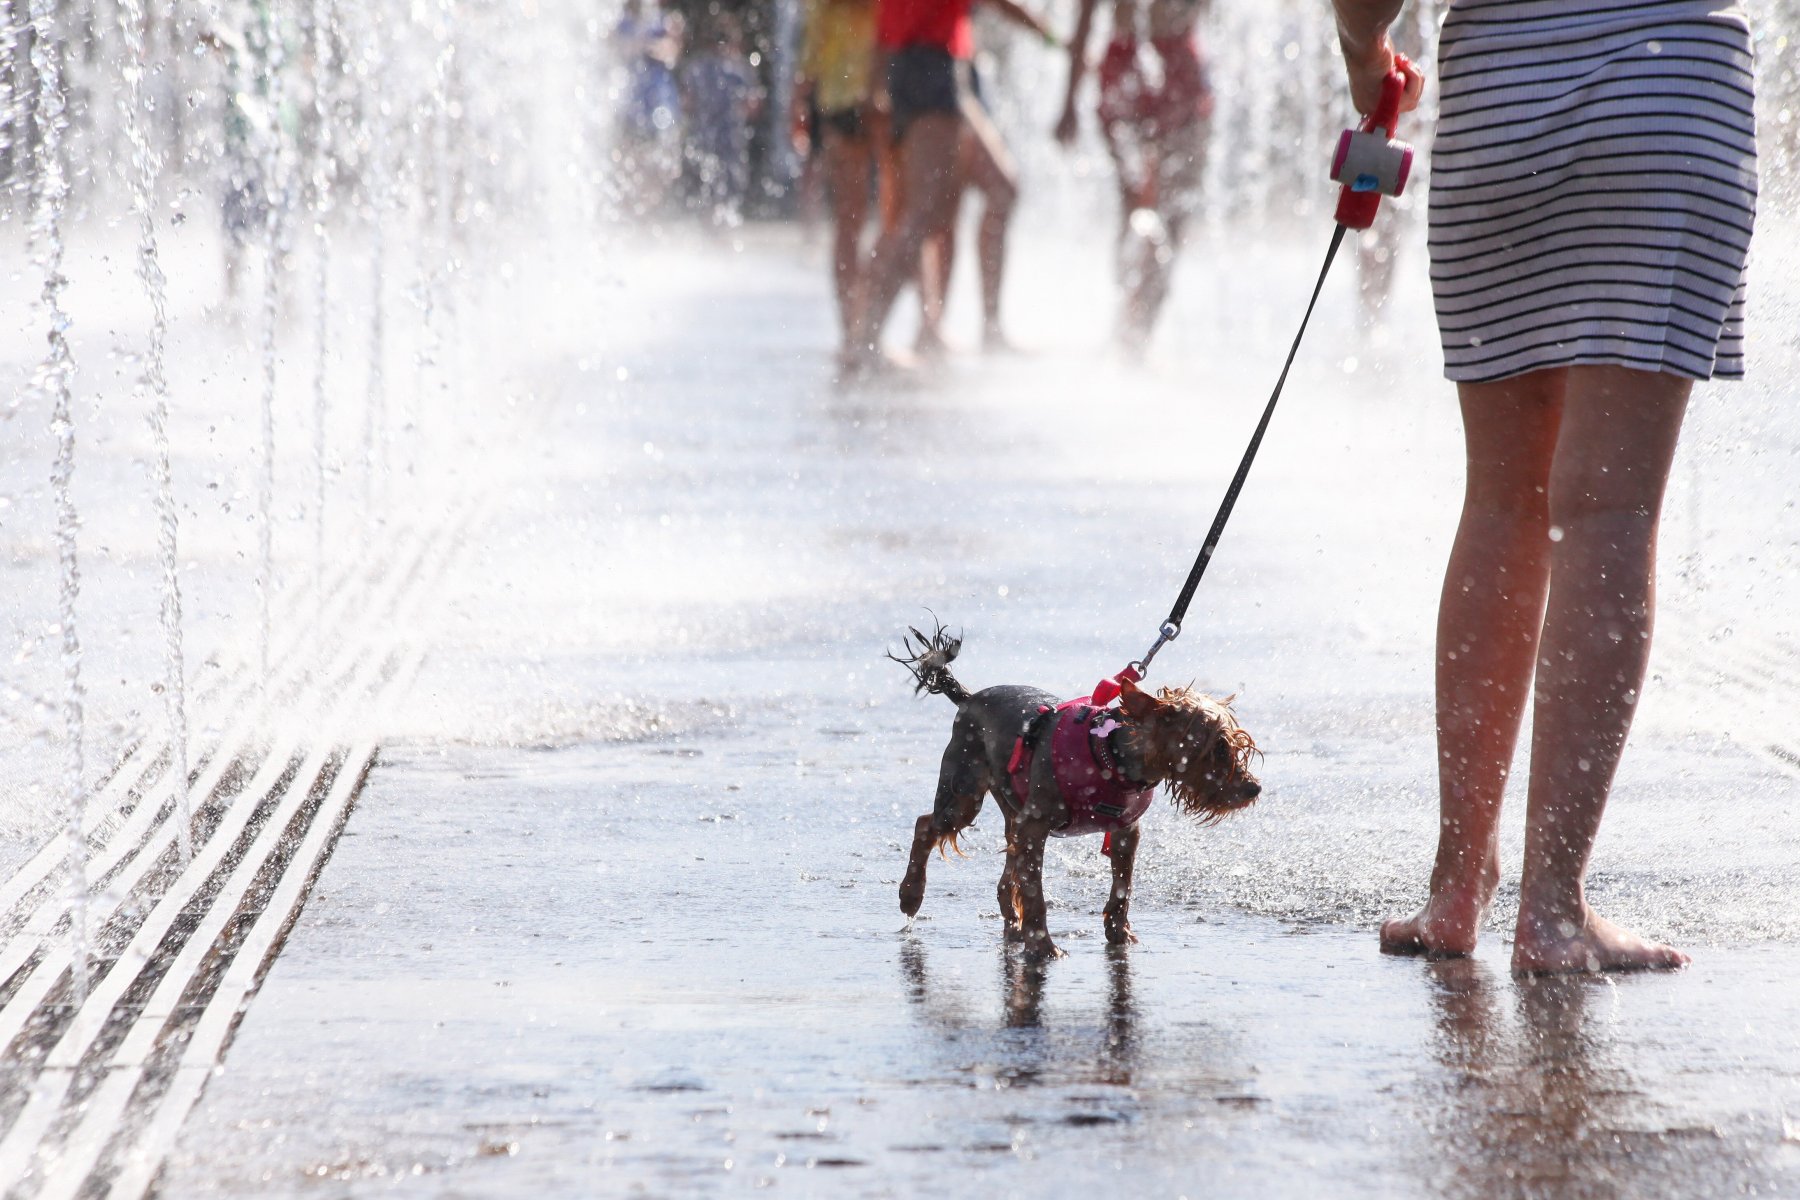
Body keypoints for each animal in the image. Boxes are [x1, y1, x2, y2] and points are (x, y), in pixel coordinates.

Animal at [889, 626, 1260, 964]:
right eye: (1219, 748)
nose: (1253, 788)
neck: (1111, 756)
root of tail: (968, 698)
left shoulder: (1126, 829)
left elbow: (1122, 886)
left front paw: (1119, 933)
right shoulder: (1035, 824)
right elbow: (1035, 893)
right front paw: (1042, 946)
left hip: (1011, 806)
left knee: (1006, 867)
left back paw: (1011, 920)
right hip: (965, 789)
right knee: (927, 824)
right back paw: (911, 894)